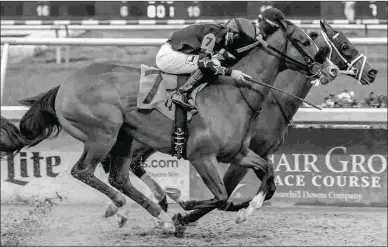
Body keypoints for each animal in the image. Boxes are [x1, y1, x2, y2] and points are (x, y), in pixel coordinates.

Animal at [0, 18, 336, 232]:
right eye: (305, 41)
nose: (328, 69)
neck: (235, 94)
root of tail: (64, 85)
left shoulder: (239, 153)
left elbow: (267, 177)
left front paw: (245, 210)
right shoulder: (202, 156)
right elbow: (221, 195)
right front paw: (183, 204)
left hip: (123, 138)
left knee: (119, 176)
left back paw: (157, 213)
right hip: (102, 134)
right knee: (84, 171)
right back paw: (125, 208)